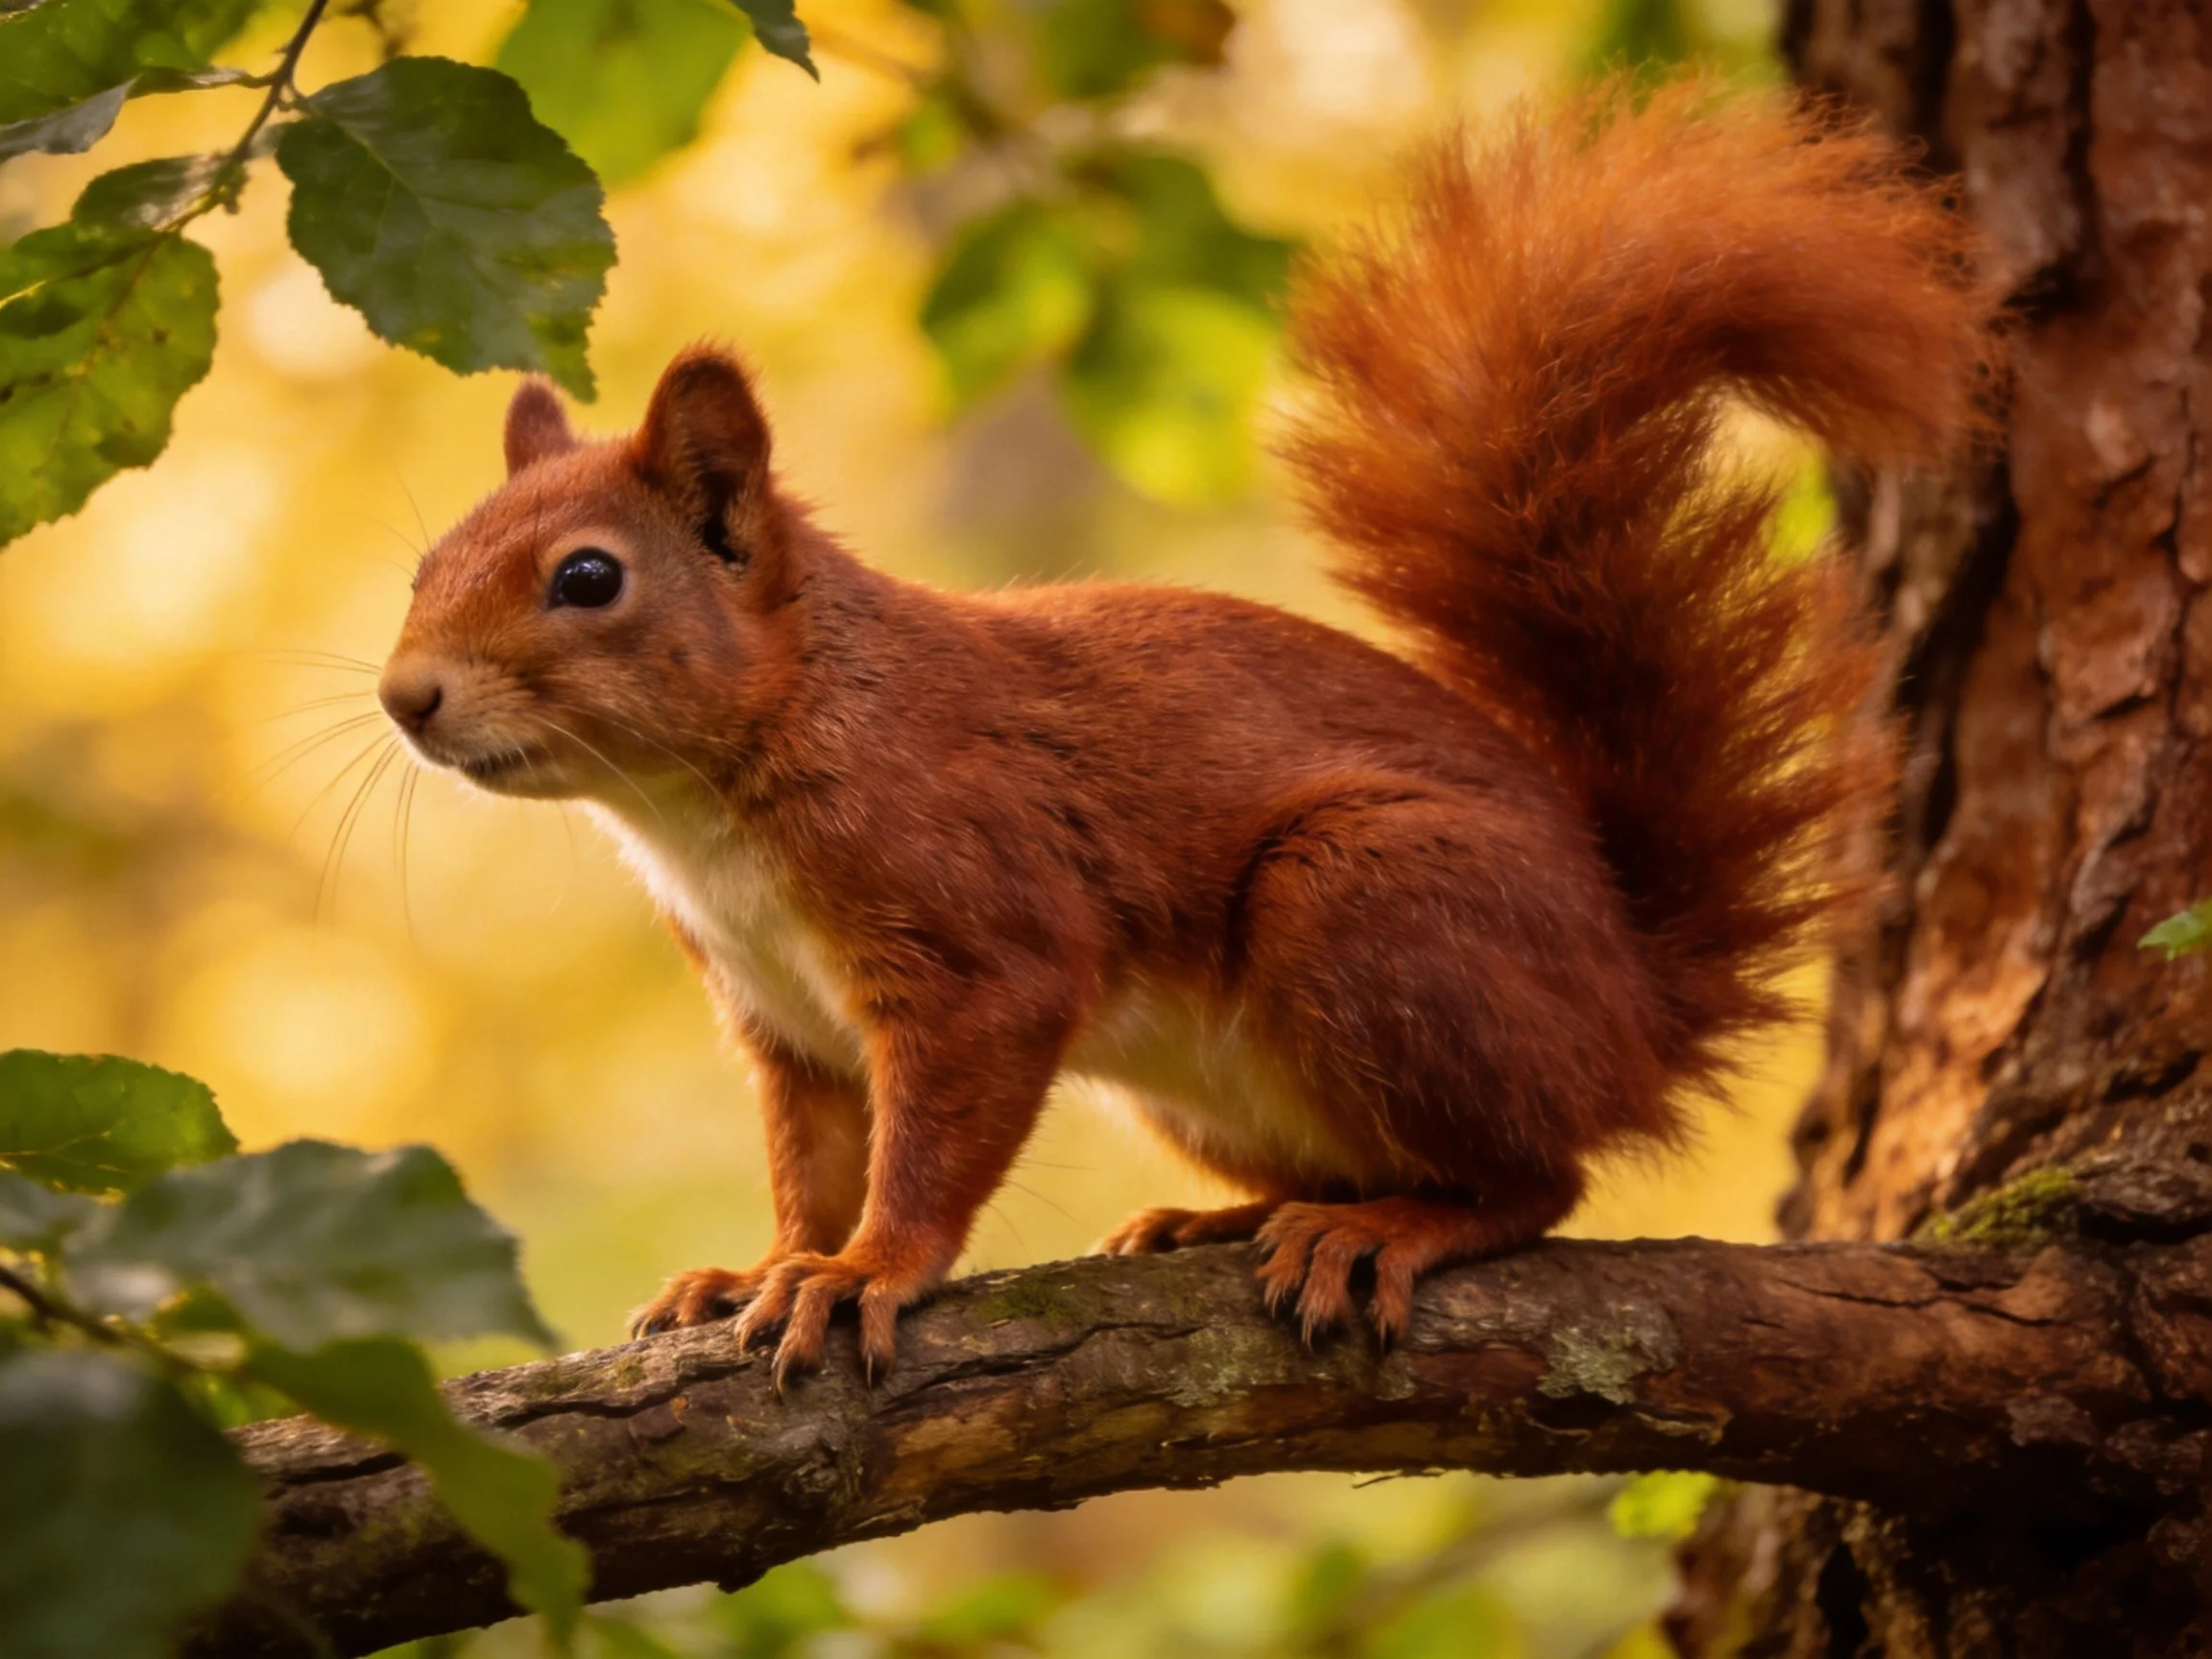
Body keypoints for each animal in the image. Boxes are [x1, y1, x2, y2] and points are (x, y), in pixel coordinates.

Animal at [378, 82, 1993, 1383]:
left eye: (590, 578)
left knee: (1539, 1181)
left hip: (1369, 902)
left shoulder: (976, 933)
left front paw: (864, 1274)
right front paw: (763, 1265)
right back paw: (1236, 1216)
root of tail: (1634, 1004)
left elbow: (929, 1144)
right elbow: (813, 1162)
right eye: (423, 563)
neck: (710, 804)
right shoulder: (785, 1023)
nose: (407, 697)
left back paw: (1386, 1228)